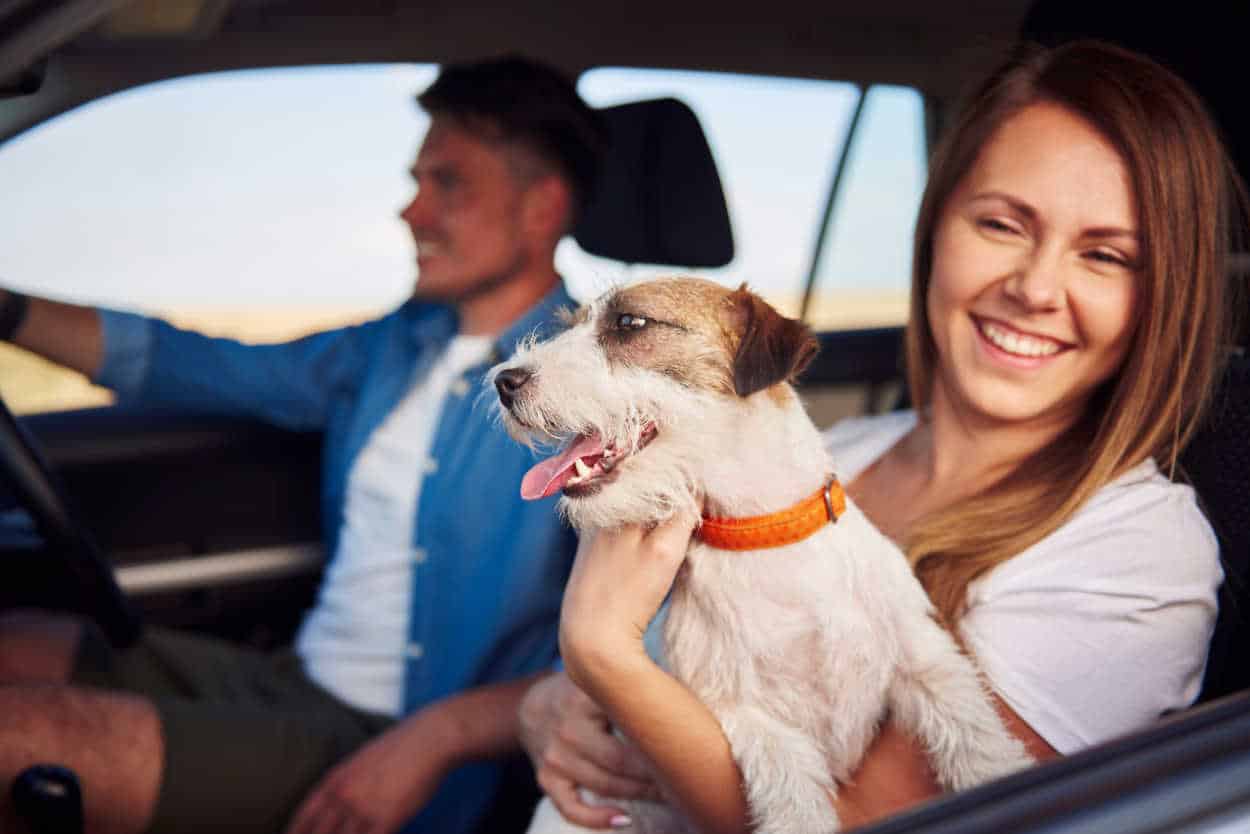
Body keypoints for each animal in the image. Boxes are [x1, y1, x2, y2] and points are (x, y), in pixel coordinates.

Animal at [492, 280, 1030, 834]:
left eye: (629, 323)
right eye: (572, 323)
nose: (504, 381)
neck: (765, 537)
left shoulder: (923, 658)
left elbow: (972, 730)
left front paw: (998, 772)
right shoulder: (752, 720)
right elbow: (794, 799)